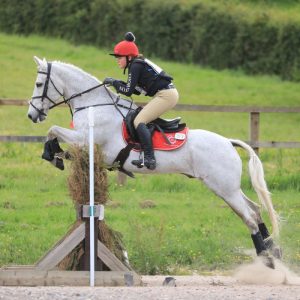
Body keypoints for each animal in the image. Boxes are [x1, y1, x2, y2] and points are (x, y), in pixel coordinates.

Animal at [28, 56, 282, 270]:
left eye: (39, 84)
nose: (32, 115)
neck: (93, 104)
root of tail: (229, 143)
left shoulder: (85, 139)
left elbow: (53, 130)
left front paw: (51, 154)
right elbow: (55, 136)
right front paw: (55, 154)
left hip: (223, 188)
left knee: (250, 218)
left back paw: (267, 260)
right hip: (229, 188)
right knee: (256, 210)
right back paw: (274, 252)